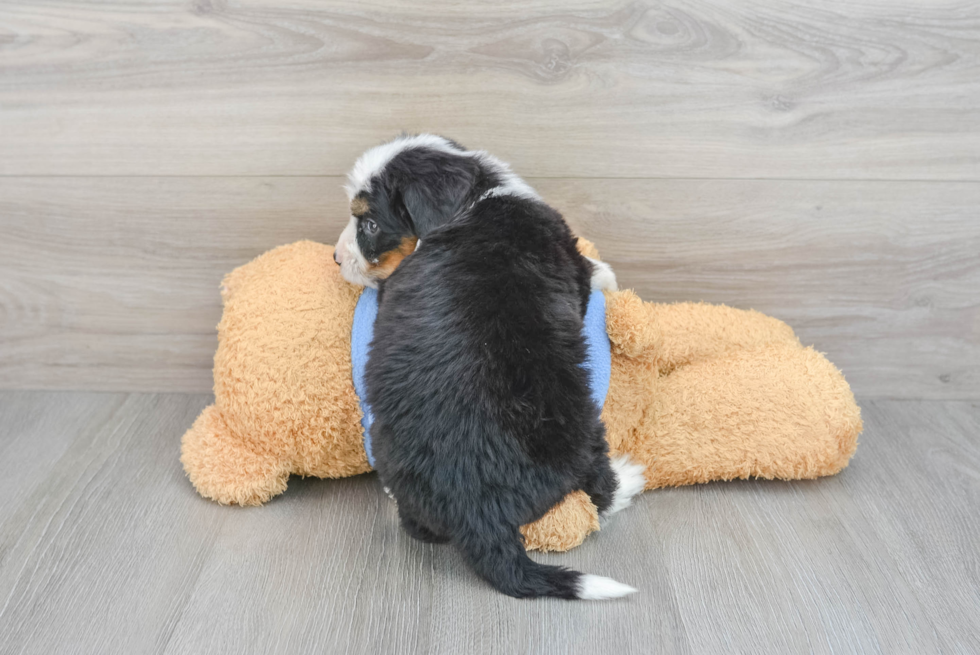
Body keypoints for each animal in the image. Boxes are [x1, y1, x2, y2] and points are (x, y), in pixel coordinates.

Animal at [334, 136, 648, 604]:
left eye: (369, 225)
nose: (336, 259)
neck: (475, 199)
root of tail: (478, 508)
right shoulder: (569, 256)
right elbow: (591, 270)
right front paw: (609, 275)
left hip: (391, 450)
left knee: (416, 525)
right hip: (581, 425)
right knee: (597, 490)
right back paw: (628, 478)